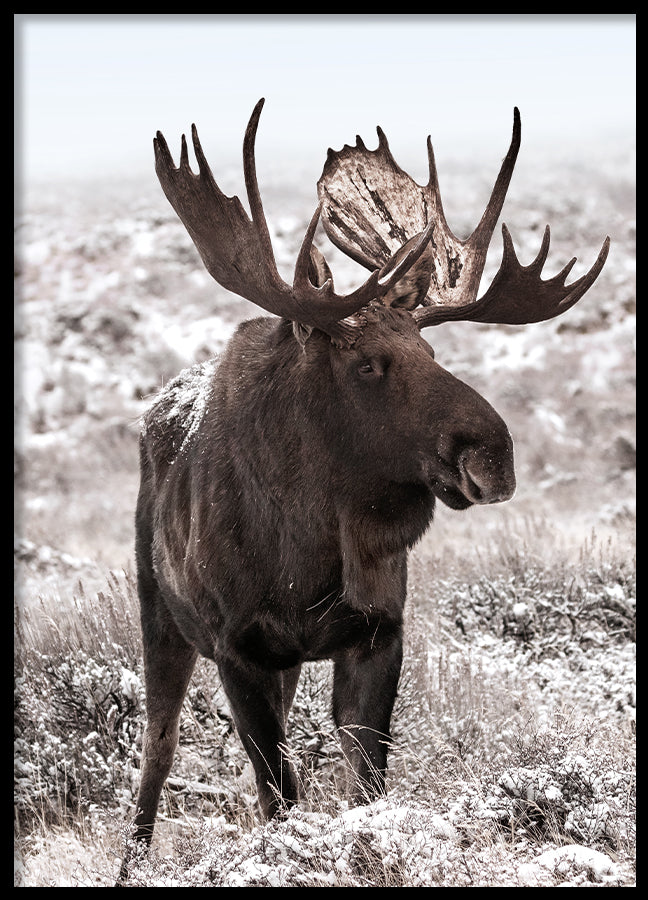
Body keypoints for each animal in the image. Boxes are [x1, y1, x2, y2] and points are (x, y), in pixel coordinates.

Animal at [119, 98, 608, 880]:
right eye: (369, 364)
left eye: (430, 349)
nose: (493, 453)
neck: (304, 556)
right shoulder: (236, 646)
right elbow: (277, 795)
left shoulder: (378, 634)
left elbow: (365, 788)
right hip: (162, 614)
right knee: (155, 751)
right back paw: (130, 862)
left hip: (280, 662)